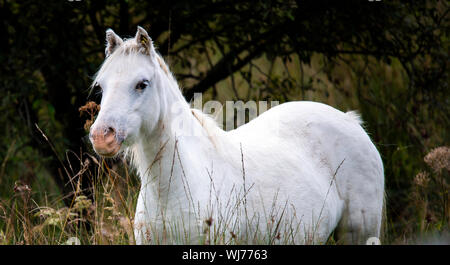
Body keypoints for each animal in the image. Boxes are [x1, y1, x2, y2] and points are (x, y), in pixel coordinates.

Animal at [89, 26, 384, 243]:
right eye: (101, 86)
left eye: (142, 84)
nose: (102, 136)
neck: (173, 188)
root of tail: (350, 120)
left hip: (359, 234)